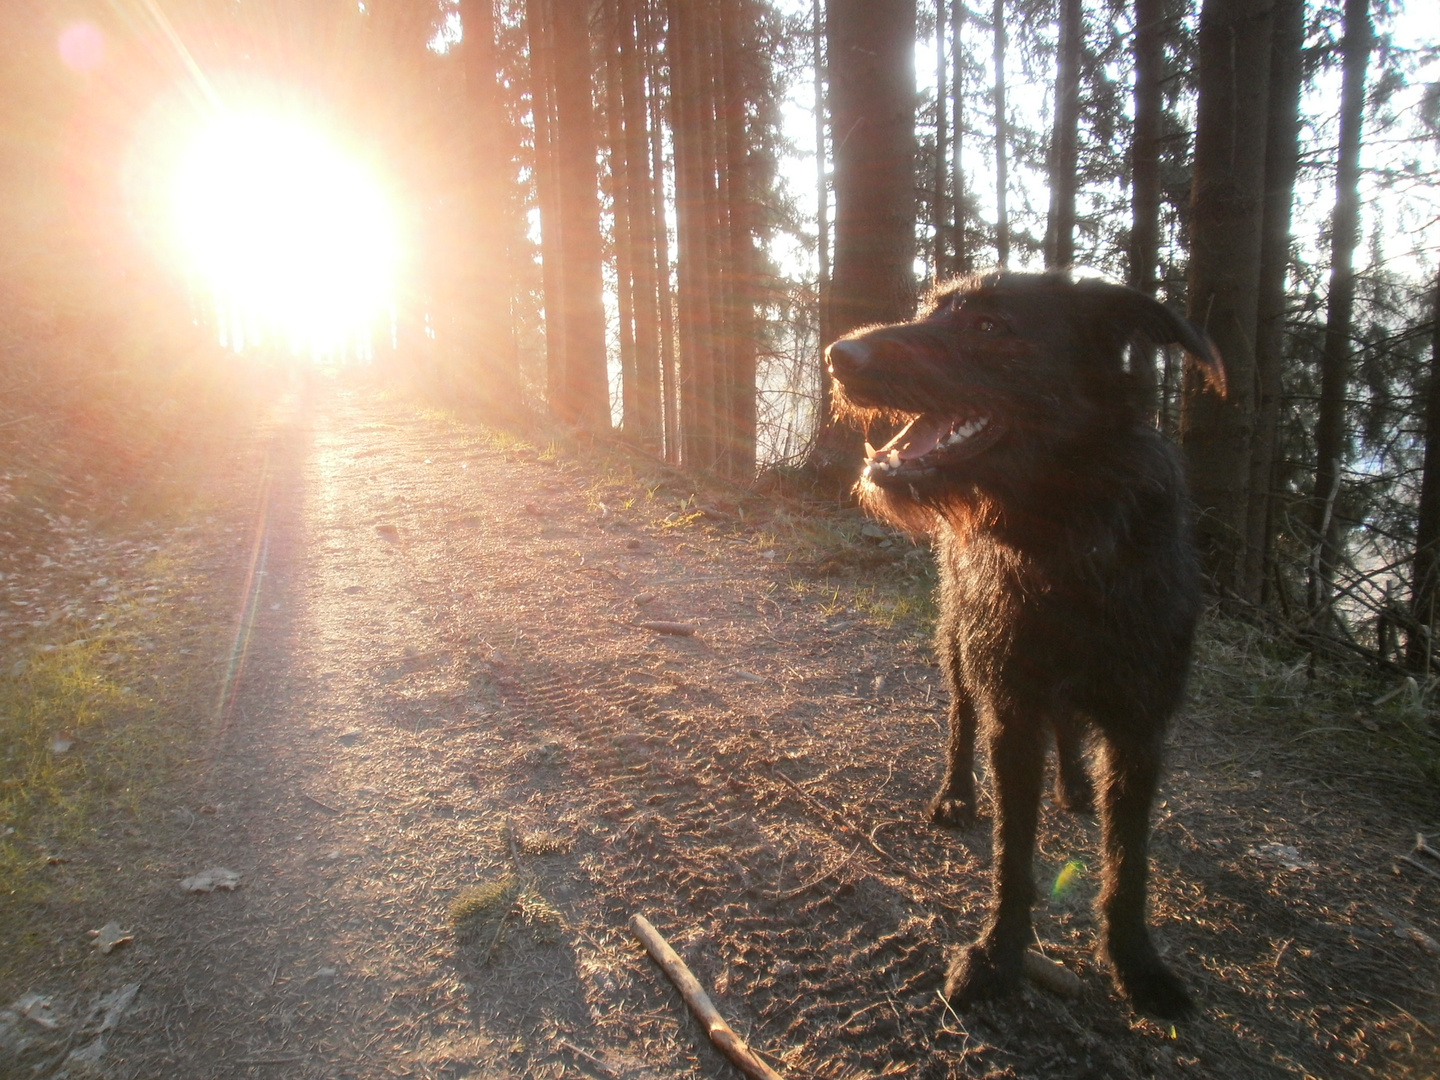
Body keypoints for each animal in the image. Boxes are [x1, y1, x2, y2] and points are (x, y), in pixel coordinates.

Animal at [829, 270, 1221, 1025]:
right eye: (932, 309)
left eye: (991, 327)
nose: (838, 355)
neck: (1065, 535)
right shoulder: (1012, 710)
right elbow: (1013, 851)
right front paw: (997, 955)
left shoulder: (1140, 729)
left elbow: (1128, 862)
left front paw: (1137, 963)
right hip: (959, 642)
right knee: (960, 717)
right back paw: (957, 794)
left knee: (1067, 727)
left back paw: (1073, 784)